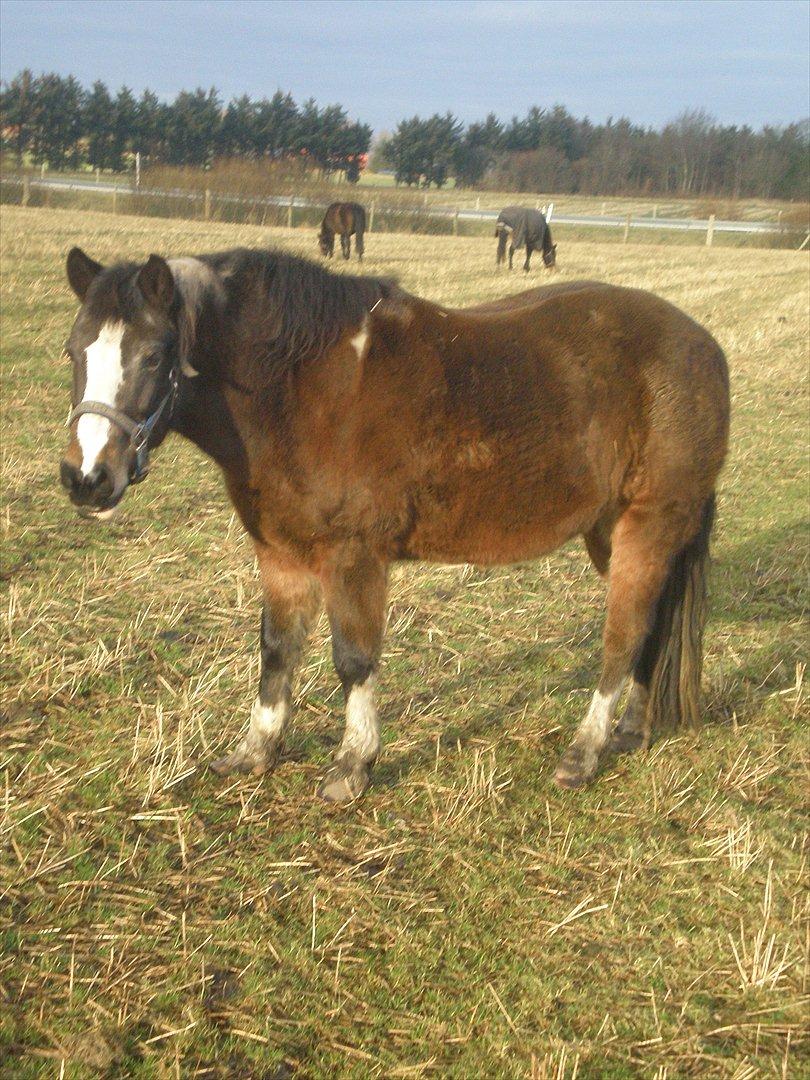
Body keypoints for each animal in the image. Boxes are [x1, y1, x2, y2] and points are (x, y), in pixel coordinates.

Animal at [60, 246, 729, 804]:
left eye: (153, 356)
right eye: (74, 350)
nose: (86, 478)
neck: (302, 388)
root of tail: (703, 348)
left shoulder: (352, 556)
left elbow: (354, 659)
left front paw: (352, 767)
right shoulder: (280, 553)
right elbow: (277, 650)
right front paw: (255, 753)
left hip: (649, 526)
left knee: (624, 636)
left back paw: (584, 753)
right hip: (612, 532)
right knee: (653, 626)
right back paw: (632, 731)